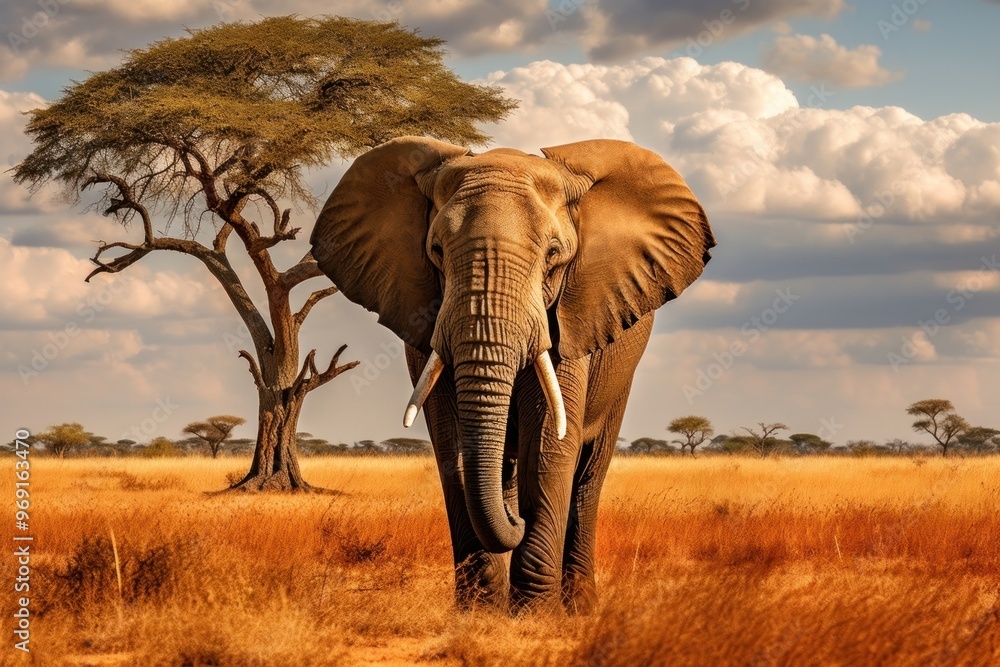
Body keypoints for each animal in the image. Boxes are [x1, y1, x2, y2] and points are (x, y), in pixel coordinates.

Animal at [310, 136, 715, 613]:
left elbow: (548, 445)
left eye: (554, 254)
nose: (516, 519)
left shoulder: (568, 320)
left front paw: (535, 615)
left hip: (620, 375)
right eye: (436, 252)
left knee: (588, 475)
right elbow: (449, 441)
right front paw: (478, 613)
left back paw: (578, 607)